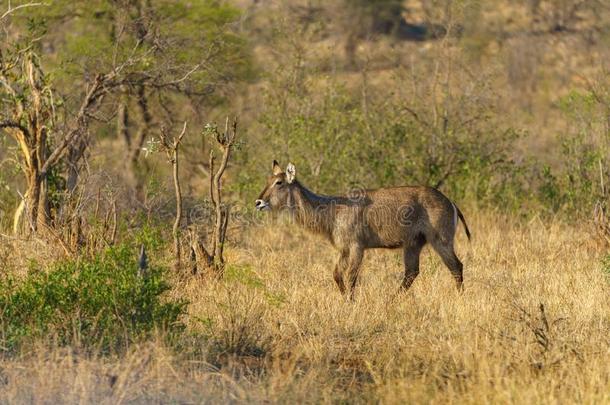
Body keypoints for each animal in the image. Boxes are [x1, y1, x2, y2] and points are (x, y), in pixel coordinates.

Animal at [253, 161, 470, 296]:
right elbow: (336, 274)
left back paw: (459, 298)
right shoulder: (343, 249)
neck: (332, 210)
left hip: (440, 240)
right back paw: (391, 300)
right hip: (413, 244)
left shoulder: (357, 246)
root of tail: (449, 201)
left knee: (456, 266)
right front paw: (344, 300)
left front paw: (351, 302)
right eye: (267, 181)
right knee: (411, 272)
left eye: (279, 182)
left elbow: (351, 276)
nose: (258, 202)